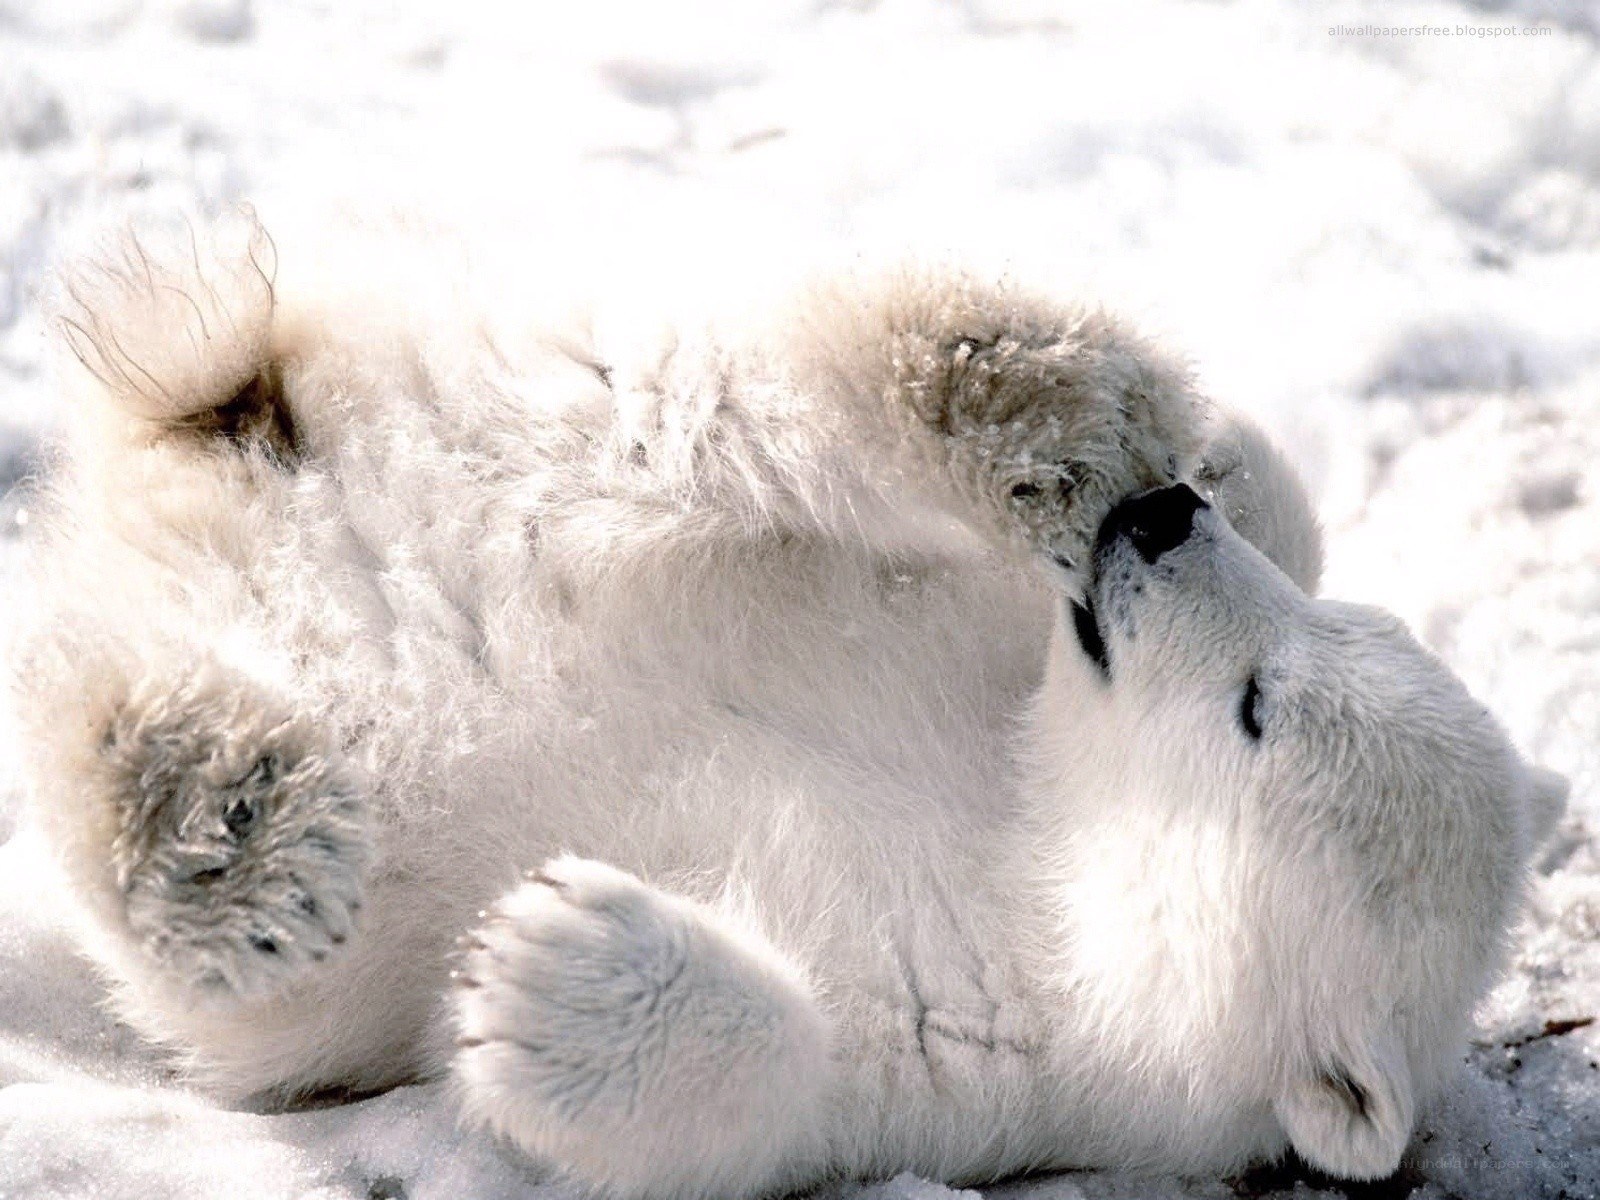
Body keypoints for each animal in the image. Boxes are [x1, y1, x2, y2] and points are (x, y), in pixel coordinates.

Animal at [9, 209, 1566, 1199]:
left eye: (1256, 707)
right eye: (1331, 635)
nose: (1159, 522)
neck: (1031, 825)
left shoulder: (1004, 1054)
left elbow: (775, 1092)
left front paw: (547, 969)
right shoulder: (991, 641)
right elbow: (1268, 504)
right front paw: (1202, 455)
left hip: (302, 896)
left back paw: (223, 828)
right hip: (528, 421)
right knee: (714, 406)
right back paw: (1025, 390)